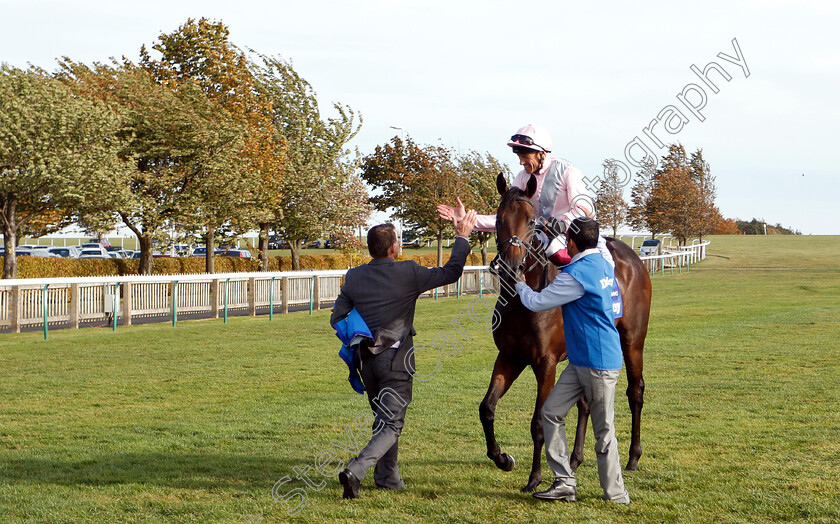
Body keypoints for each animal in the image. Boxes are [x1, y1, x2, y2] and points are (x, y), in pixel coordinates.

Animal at [480, 172, 648, 492]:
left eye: (531, 220)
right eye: (498, 219)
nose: (510, 269)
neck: (523, 301)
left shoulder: (545, 363)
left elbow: (537, 422)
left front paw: (534, 478)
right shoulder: (509, 357)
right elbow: (487, 408)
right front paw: (502, 458)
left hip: (632, 341)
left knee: (635, 391)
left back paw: (634, 457)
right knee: (585, 402)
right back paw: (575, 459)